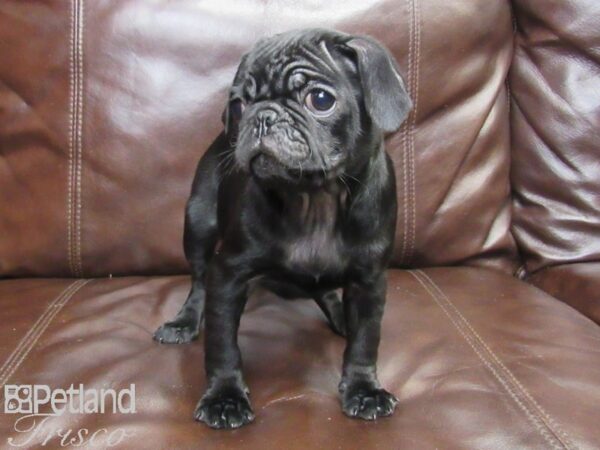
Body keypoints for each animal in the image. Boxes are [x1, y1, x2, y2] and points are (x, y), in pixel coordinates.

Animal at [154, 28, 412, 428]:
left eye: (320, 99)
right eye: (239, 104)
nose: (262, 116)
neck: (313, 199)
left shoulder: (369, 281)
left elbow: (366, 341)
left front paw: (364, 389)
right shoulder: (229, 274)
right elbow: (222, 344)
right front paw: (224, 398)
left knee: (327, 292)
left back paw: (341, 317)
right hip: (197, 224)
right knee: (198, 283)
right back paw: (184, 322)